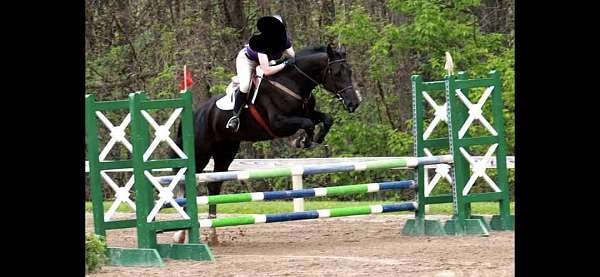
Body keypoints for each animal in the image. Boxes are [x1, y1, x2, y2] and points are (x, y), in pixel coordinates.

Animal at [173, 43, 360, 242]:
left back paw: (212, 234)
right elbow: (308, 124)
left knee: (214, 185)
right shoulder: (279, 124)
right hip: (200, 153)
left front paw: (314, 139)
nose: (354, 103)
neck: (293, 84)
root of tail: (195, 113)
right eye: (337, 73)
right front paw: (302, 141)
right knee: (186, 183)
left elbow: (326, 119)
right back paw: (180, 235)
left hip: (226, 152)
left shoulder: (308, 113)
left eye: (350, 71)